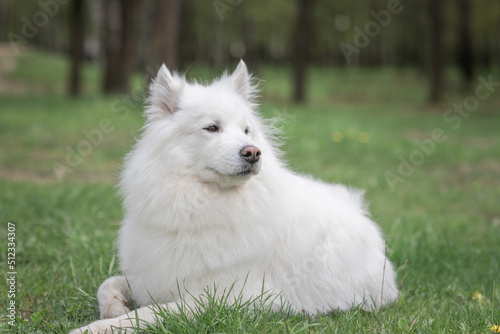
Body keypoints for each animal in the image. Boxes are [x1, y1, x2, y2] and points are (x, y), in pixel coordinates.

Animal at [71, 61, 398, 332]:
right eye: (212, 128)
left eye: (246, 130)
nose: (252, 152)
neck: (195, 207)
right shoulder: (149, 275)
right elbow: (108, 285)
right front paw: (114, 308)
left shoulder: (217, 298)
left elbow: (147, 314)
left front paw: (95, 328)